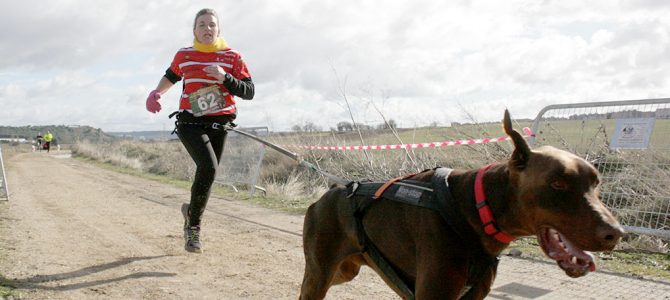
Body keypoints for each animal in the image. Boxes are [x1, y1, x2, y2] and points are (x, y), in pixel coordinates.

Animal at [302, 110, 628, 300]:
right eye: (558, 183)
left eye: (596, 184)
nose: (615, 233)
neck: (475, 211)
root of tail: (328, 194)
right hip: (320, 272)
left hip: (345, 270)